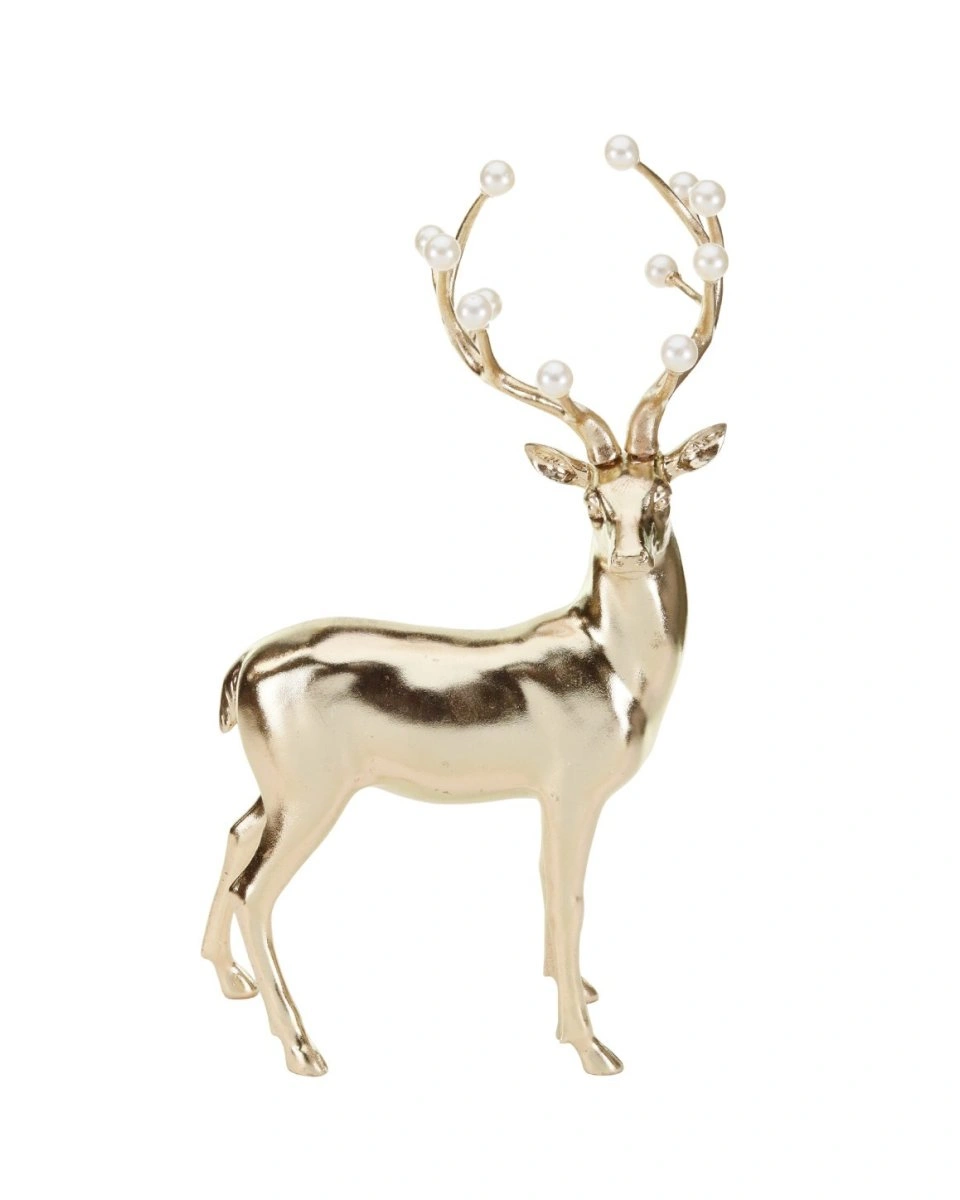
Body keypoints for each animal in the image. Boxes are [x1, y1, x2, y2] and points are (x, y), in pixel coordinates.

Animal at [202, 135, 729, 1077]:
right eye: (591, 502)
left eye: (663, 491)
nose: (629, 553)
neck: (617, 669)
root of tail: (242, 668)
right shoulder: (570, 788)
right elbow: (568, 895)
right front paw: (592, 1048)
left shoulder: (548, 794)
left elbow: (556, 898)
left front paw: (583, 998)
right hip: (316, 787)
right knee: (255, 884)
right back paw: (303, 1048)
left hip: (276, 783)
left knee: (230, 836)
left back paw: (228, 985)